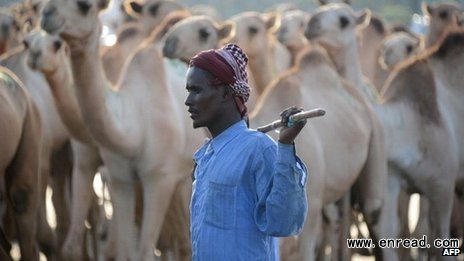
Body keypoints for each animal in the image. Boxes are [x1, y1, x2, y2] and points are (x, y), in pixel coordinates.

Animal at [40, 0, 205, 256]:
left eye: (84, 6)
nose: (47, 15)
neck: (134, 130)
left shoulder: (159, 178)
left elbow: (145, 251)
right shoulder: (119, 178)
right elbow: (124, 251)